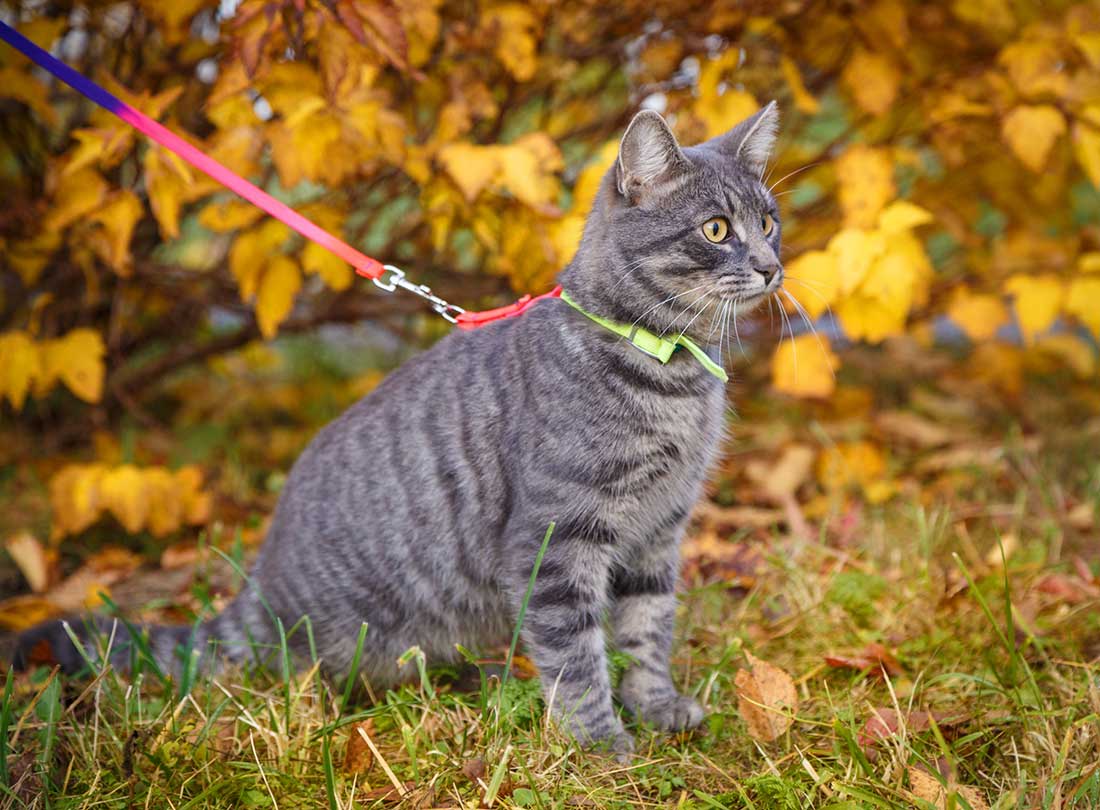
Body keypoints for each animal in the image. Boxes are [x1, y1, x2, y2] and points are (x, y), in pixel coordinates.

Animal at [10, 104, 783, 757]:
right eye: (717, 229)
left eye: (770, 222)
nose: (774, 267)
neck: (671, 373)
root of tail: (263, 586)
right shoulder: (556, 543)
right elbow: (576, 656)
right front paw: (600, 745)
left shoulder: (658, 529)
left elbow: (648, 629)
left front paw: (655, 706)